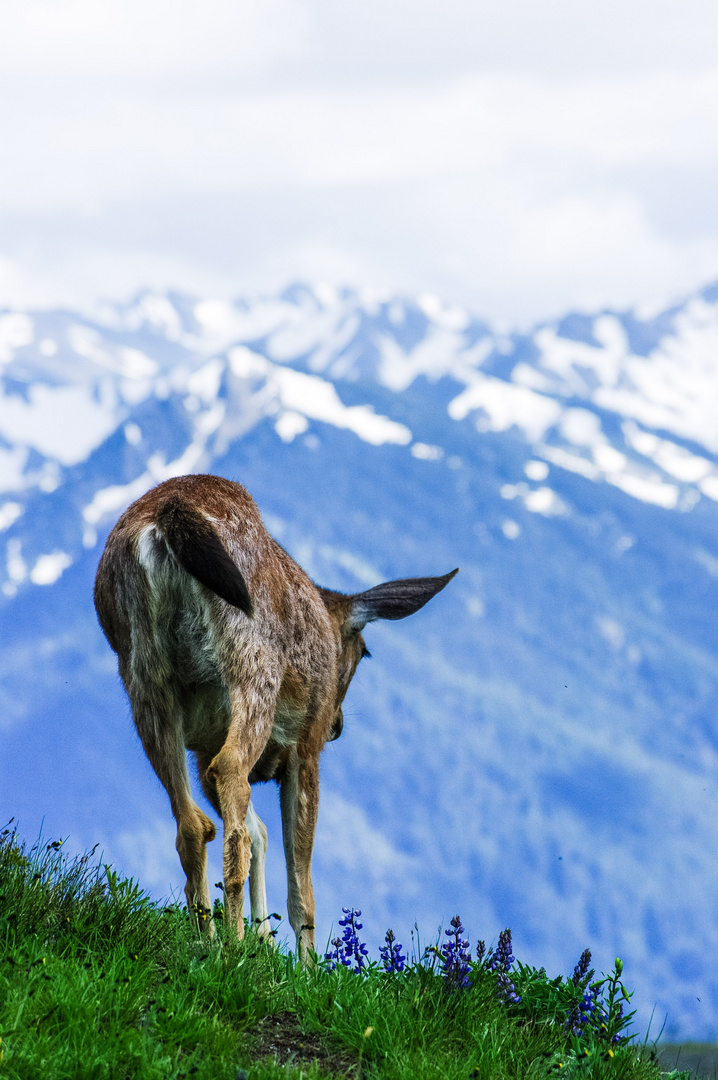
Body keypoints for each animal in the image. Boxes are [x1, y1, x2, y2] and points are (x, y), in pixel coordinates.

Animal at [92, 473, 455, 954]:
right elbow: (302, 885)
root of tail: (167, 517)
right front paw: (303, 962)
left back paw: (209, 938)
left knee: (193, 822)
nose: (337, 725)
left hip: (143, 680)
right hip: (253, 658)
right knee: (231, 779)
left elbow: (258, 831)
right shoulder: (305, 746)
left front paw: (263, 938)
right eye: (364, 652)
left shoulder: (202, 747)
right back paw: (230, 943)